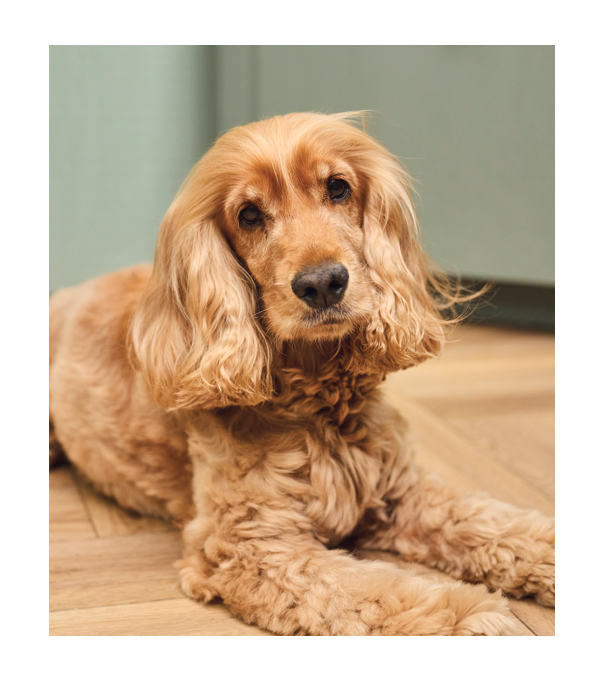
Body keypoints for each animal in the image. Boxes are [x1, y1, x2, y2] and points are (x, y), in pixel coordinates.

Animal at [49, 111, 556, 636]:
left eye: (337, 188)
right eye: (249, 215)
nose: (323, 284)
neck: (318, 400)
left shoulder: (401, 493)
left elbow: (493, 523)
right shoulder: (254, 546)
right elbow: (376, 592)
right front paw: (470, 613)